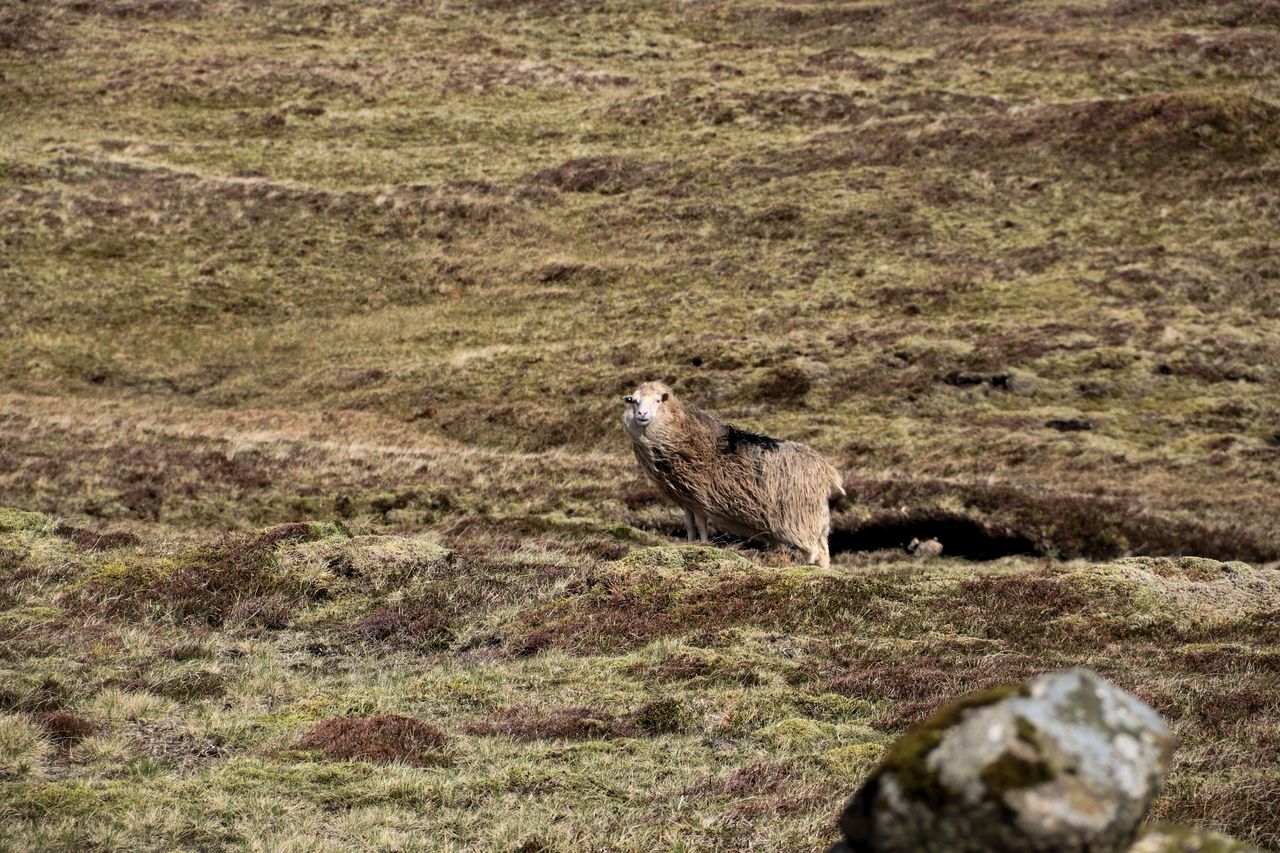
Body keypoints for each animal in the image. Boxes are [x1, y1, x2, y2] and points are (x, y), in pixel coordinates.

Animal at [621, 380, 845, 568]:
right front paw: (689, 544)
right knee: (823, 548)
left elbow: (701, 524)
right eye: (634, 401)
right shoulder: (686, 499)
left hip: (801, 516)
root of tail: (827, 470)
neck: (679, 432)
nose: (642, 415)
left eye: (658, 400)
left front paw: (703, 545)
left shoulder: (700, 496)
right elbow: (690, 524)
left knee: (815, 549)